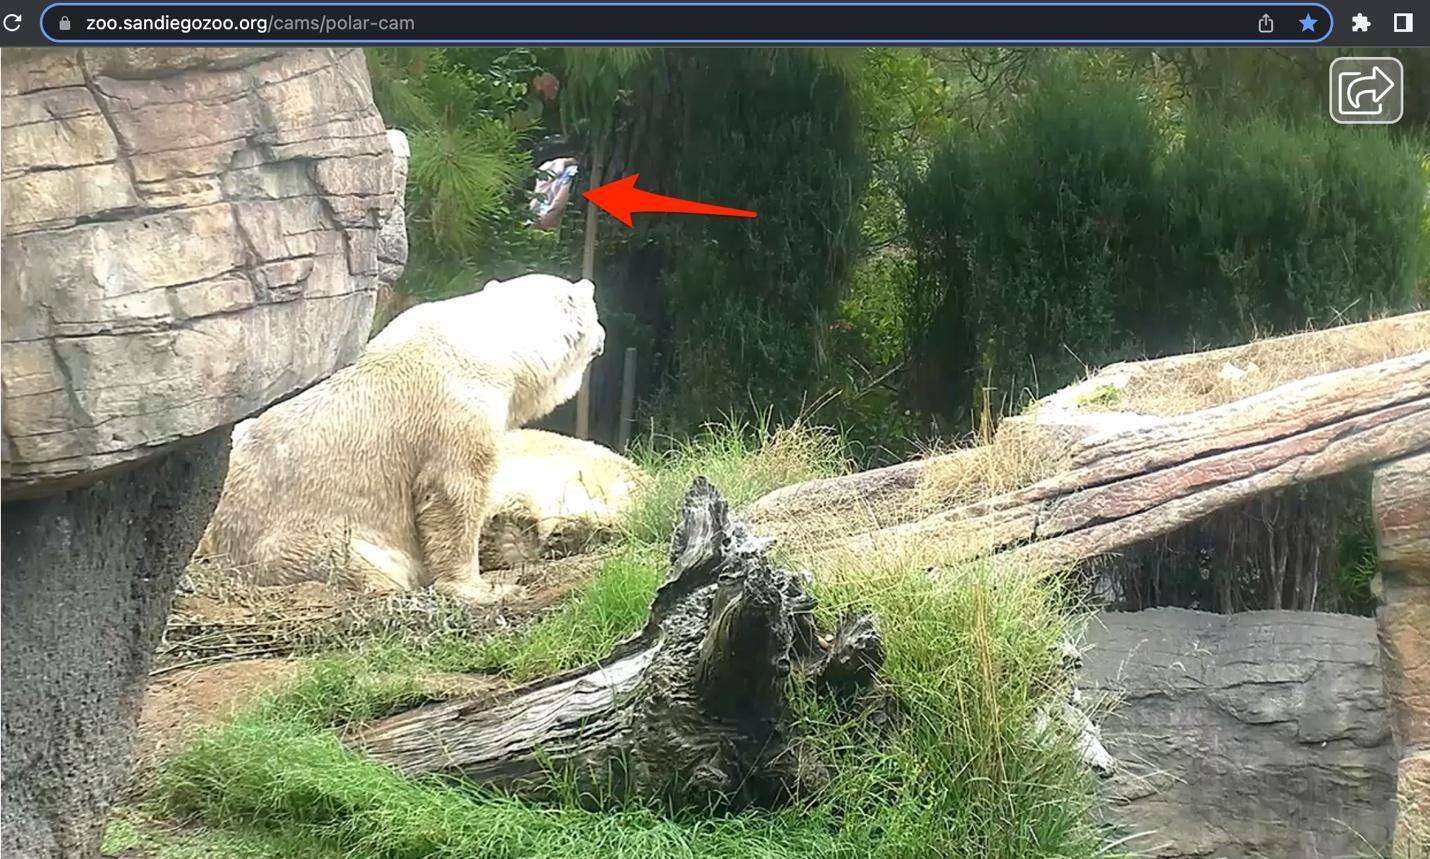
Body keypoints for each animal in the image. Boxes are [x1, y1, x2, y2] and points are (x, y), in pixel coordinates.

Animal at [195, 274, 603, 603]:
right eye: (595, 308)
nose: (603, 335)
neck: (486, 345)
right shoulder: (457, 407)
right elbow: (454, 491)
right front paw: (483, 588)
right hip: (307, 536)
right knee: (352, 559)